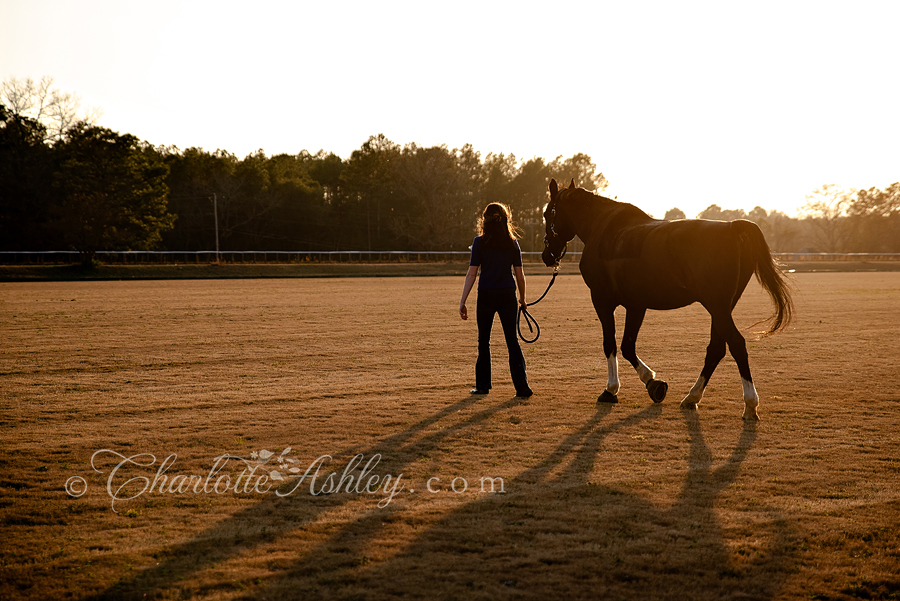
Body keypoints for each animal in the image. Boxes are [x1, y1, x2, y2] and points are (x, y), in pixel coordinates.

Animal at [541, 179, 793, 420]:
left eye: (546, 214)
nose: (547, 256)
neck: (604, 230)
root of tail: (732, 227)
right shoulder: (636, 305)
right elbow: (627, 346)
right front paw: (653, 384)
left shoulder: (602, 300)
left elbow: (611, 344)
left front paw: (612, 389)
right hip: (722, 307)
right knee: (716, 349)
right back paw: (692, 397)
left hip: (717, 305)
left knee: (736, 344)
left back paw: (750, 404)